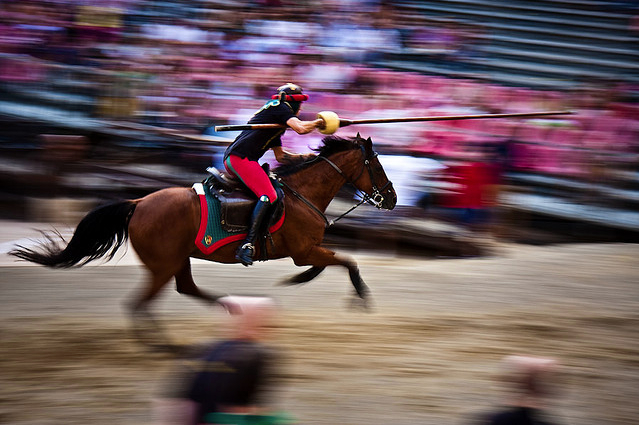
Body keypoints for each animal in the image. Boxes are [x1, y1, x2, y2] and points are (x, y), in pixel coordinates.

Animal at [11, 134, 396, 322]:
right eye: (377, 165)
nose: (392, 198)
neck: (303, 193)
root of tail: (138, 203)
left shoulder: (307, 251)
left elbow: (333, 263)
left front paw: (298, 280)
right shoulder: (303, 250)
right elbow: (345, 262)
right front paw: (359, 297)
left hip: (175, 258)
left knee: (187, 289)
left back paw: (230, 308)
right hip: (164, 263)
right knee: (155, 299)